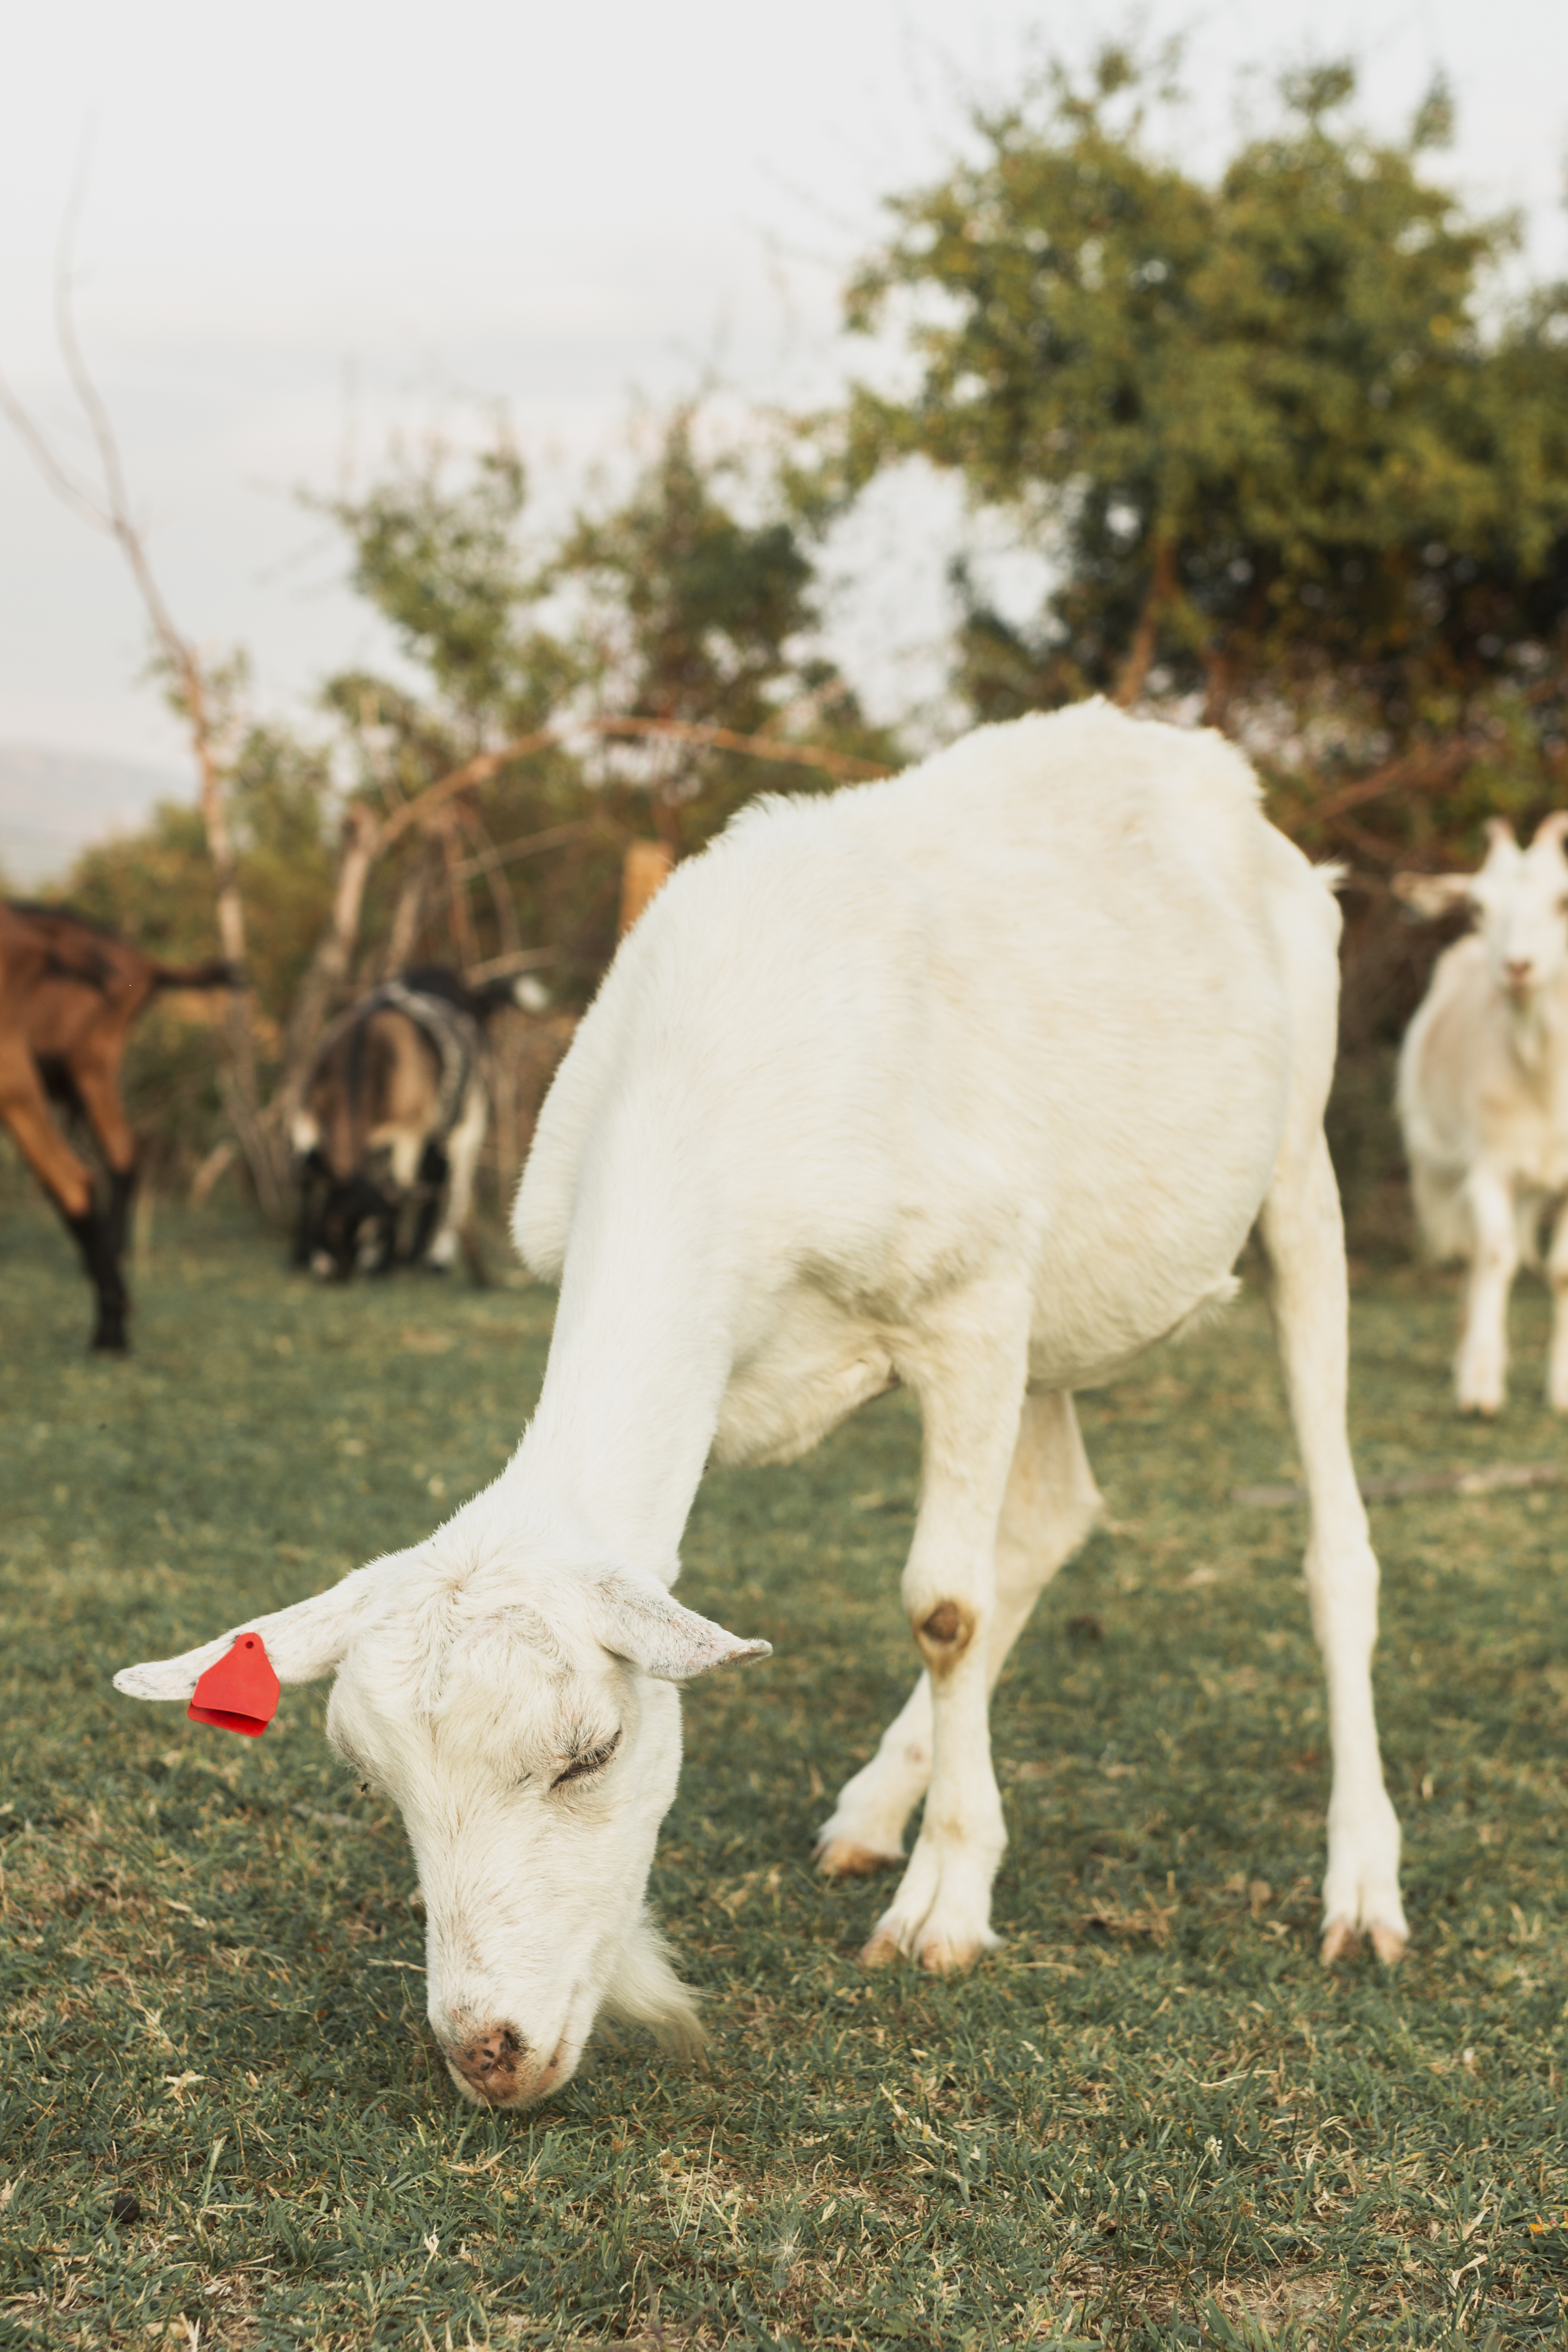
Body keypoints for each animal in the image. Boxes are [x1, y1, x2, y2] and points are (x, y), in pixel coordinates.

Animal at [116, 701, 1407, 2112]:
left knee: (1330, 1541)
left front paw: (946, 1905)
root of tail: (1202, 764)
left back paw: (1360, 1882)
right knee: (1054, 1516)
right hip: (1062, 1309)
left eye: (591, 1751)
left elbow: (945, 1609)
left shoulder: (972, 1306)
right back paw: (874, 1807)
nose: (487, 2055)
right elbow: (983, 1580)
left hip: (1293, 1180)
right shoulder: (982, 1317)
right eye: (376, 1783)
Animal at [1394, 813, 1568, 1414]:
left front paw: (1561, 1390)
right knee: (1480, 1251)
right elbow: (1494, 1257)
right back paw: (1469, 1353)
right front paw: (1479, 1388)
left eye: (1563, 900)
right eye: (1477, 906)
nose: (1516, 968)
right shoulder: (1488, 1160)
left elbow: (1562, 1271)